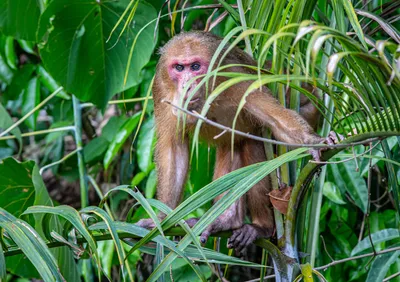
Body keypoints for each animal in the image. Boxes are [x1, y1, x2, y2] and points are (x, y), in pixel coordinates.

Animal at [138, 30, 334, 253]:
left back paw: (262, 227)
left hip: (311, 109)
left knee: (255, 144)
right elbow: (174, 149)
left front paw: (314, 142)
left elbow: (277, 121)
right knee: (234, 146)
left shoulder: (237, 78)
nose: (187, 86)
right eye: (179, 68)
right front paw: (162, 219)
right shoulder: (161, 87)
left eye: (195, 67)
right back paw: (229, 220)